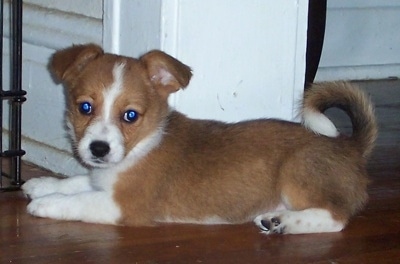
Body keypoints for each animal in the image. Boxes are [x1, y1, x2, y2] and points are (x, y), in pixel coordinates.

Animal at [22, 43, 378, 235]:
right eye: (85, 107)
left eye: (130, 115)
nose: (98, 149)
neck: (142, 144)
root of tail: (349, 146)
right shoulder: (101, 181)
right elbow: (75, 182)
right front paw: (42, 185)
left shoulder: (124, 205)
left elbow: (78, 200)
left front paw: (46, 203)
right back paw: (275, 220)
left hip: (297, 173)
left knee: (336, 217)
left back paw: (284, 221)